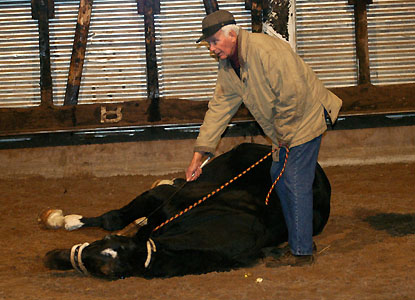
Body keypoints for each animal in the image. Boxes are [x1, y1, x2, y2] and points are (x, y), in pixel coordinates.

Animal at [42, 143, 332, 278]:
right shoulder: (159, 198)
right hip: (214, 168)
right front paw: (69, 219)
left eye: (109, 272)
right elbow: (112, 218)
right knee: (185, 179)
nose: (50, 257)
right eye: (102, 240)